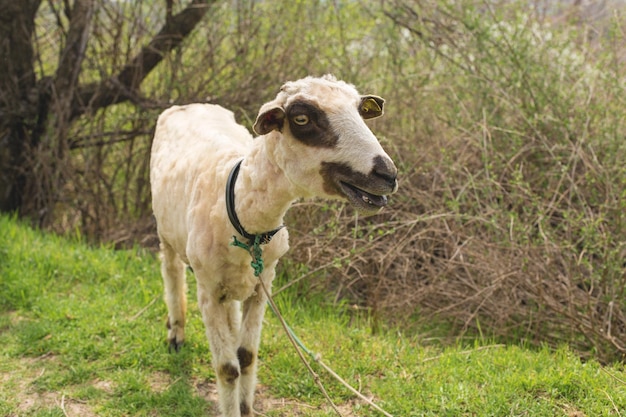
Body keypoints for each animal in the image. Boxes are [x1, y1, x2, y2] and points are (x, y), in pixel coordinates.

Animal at [149, 75, 398, 416]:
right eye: (302, 119)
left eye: (362, 111)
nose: (388, 174)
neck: (241, 209)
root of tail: (190, 104)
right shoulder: (208, 290)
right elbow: (227, 368)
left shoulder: (263, 282)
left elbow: (246, 357)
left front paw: (245, 407)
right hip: (167, 233)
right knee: (172, 274)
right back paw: (176, 333)